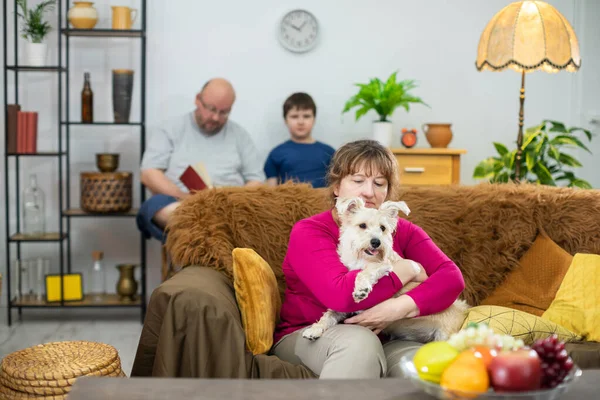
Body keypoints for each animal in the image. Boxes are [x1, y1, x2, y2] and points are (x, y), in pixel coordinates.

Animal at [302, 197, 466, 340]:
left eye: (383, 228)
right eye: (362, 225)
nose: (376, 242)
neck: (361, 258)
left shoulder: (384, 265)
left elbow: (367, 271)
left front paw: (361, 289)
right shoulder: (341, 307)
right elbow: (329, 314)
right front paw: (315, 329)